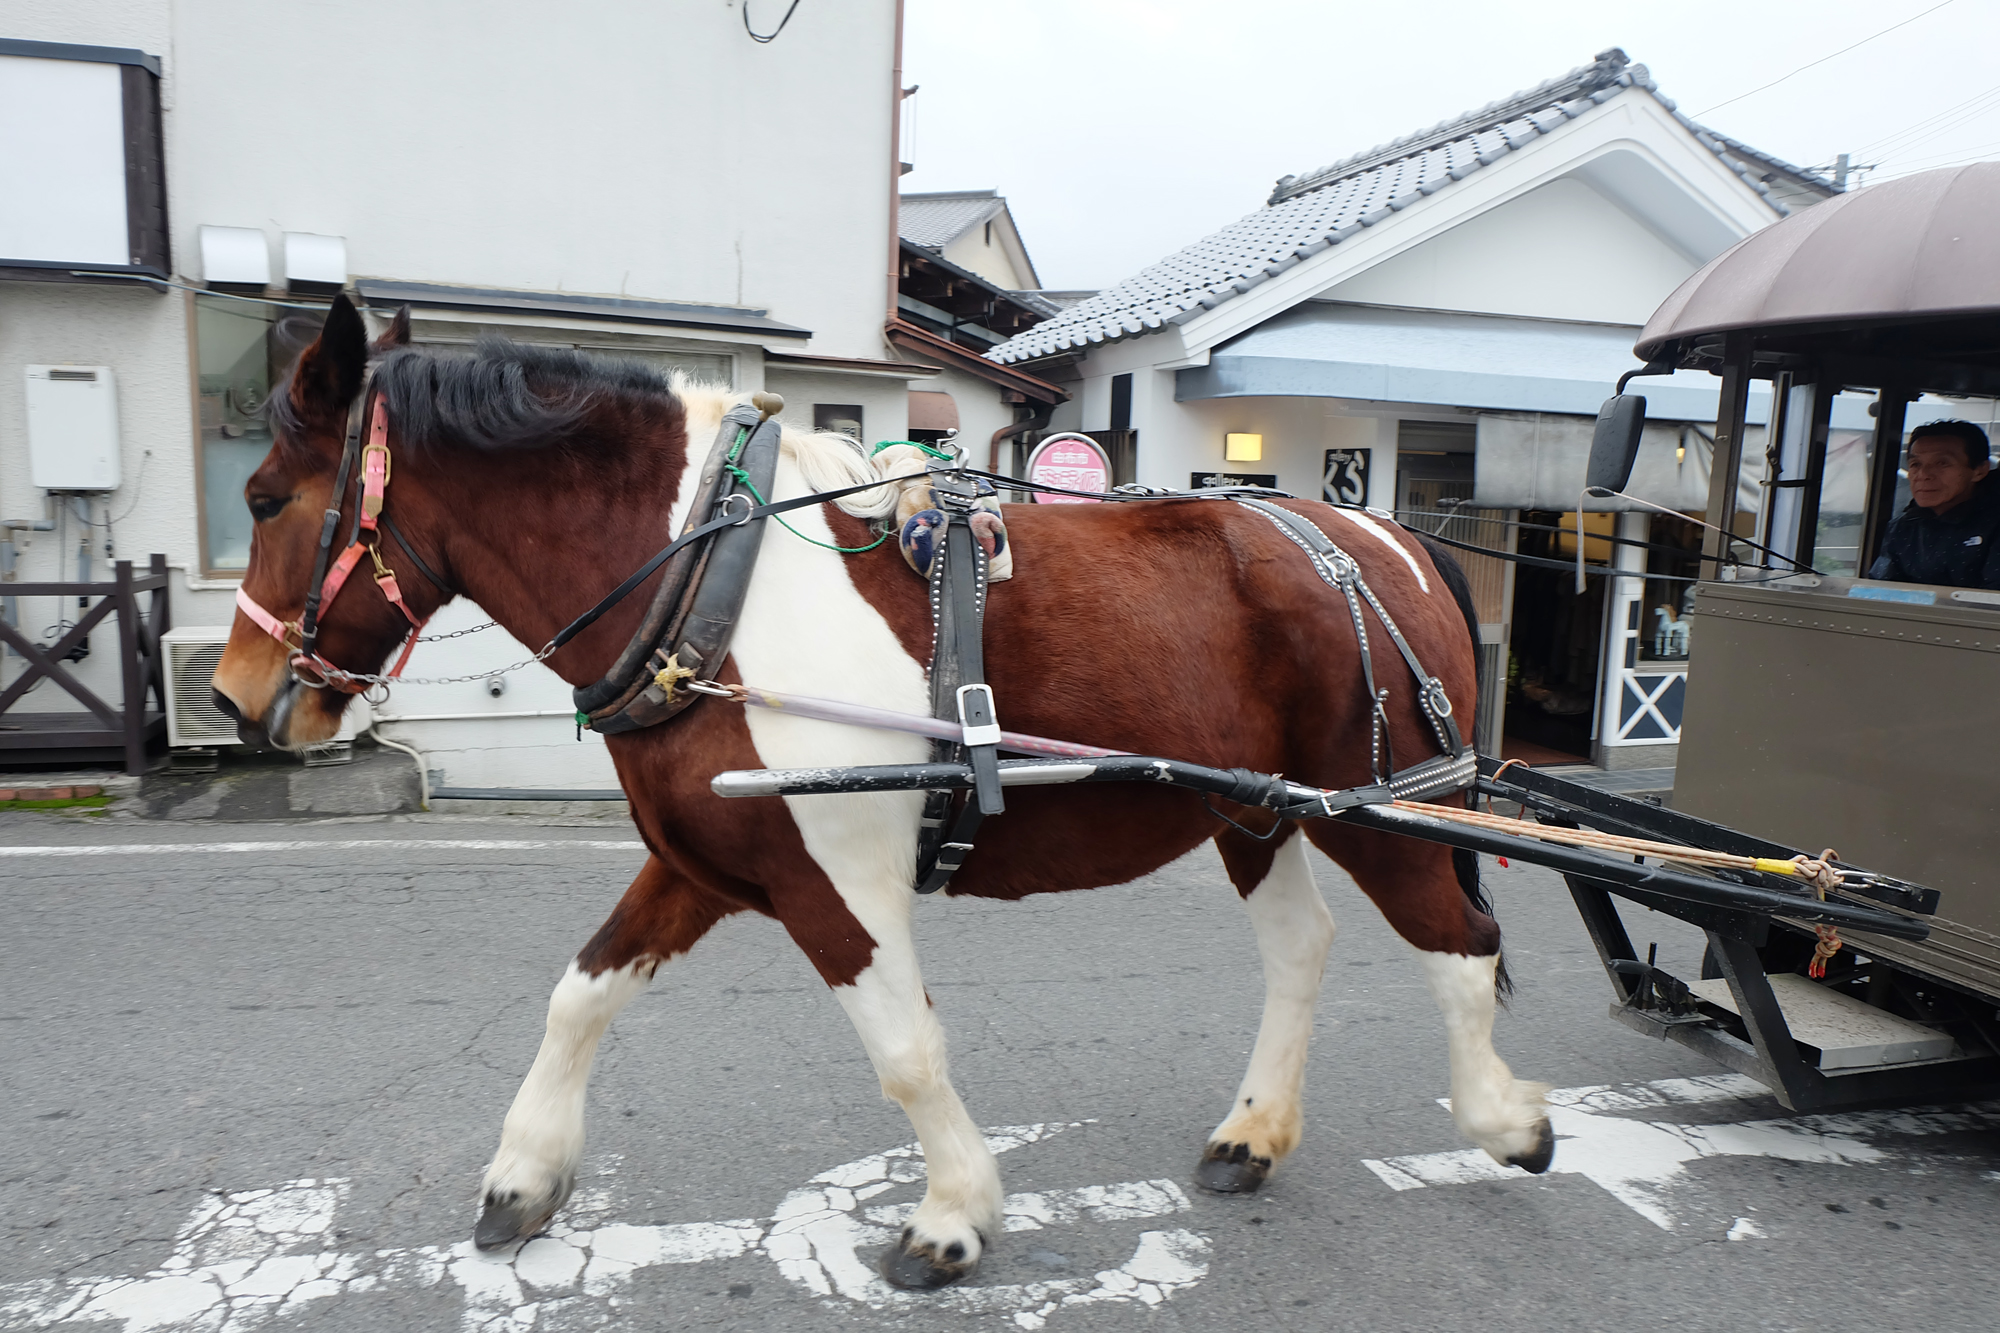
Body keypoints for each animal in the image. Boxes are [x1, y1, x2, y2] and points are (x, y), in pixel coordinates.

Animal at [215, 296, 1544, 1280]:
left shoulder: (834, 877)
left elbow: (903, 1047)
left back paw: (1507, 1118)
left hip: (1380, 804)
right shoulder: (707, 859)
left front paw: (952, 1213)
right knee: (1299, 947)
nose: (230, 697)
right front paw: (524, 1175)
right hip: (1254, 807)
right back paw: (1253, 1131)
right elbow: (578, 995)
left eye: (264, 497)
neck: (713, 582)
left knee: (1457, 941)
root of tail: (1383, 536)